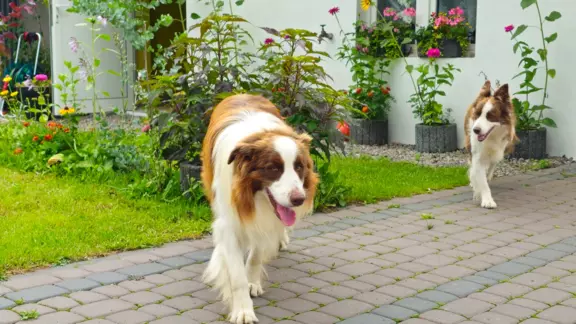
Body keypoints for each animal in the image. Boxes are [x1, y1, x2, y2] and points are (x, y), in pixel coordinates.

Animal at [201, 93, 320, 322]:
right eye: (273, 168)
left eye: (299, 167)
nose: (299, 199)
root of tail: (242, 93)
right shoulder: (229, 221)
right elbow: (236, 274)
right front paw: (243, 310)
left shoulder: (264, 221)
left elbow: (256, 255)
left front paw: (252, 281)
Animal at [464, 79, 516, 209]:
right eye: (477, 114)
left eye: (490, 116)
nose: (475, 130)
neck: (491, 137)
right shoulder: (477, 156)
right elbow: (481, 181)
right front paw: (487, 200)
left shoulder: (499, 150)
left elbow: (488, 170)